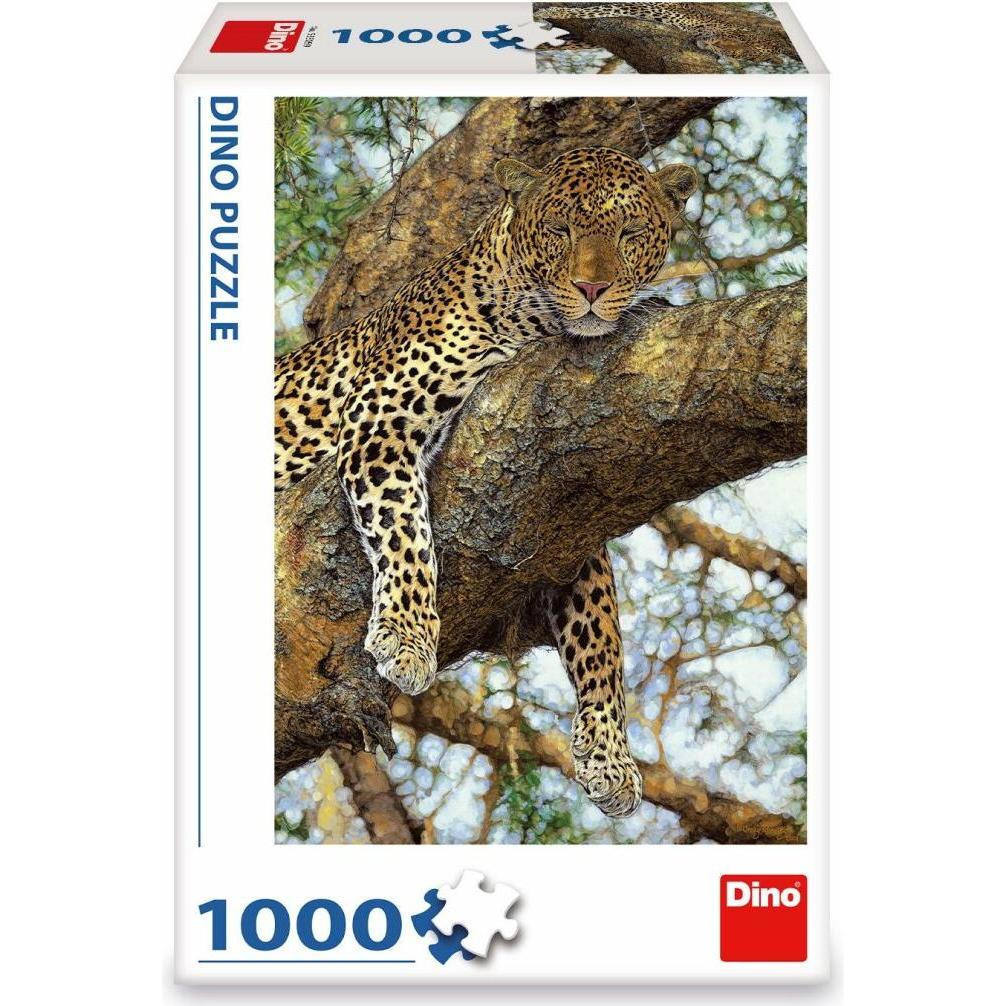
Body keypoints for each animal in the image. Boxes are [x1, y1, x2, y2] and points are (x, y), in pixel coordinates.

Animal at [275, 146, 698, 818]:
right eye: (560, 230)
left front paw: (609, 756)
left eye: (630, 234)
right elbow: (405, 531)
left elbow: (602, 631)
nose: (593, 289)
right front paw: (407, 638)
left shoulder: (568, 517)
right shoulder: (379, 416)